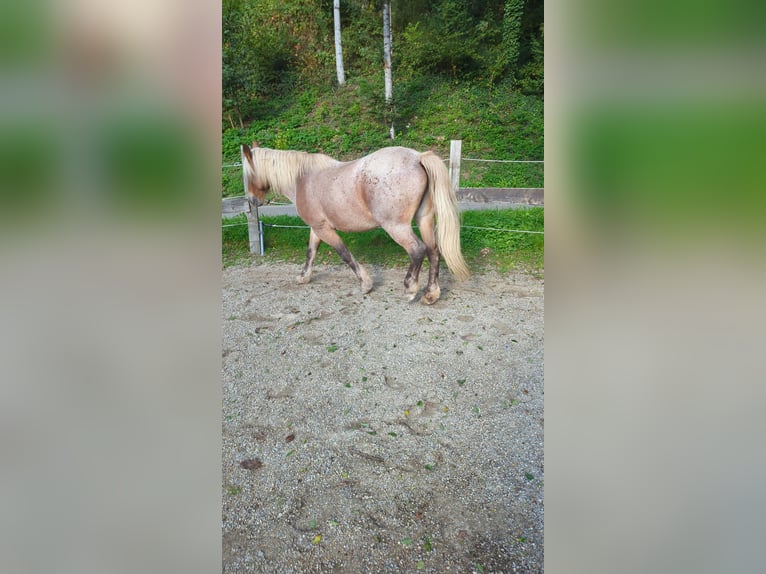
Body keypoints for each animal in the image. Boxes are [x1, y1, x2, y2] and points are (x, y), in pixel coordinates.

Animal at [240, 144, 469, 304]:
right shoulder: (317, 228)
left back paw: (410, 289)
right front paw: (303, 277)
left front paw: (365, 284)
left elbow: (344, 254)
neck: (302, 180)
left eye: (247, 174)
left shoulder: (324, 229)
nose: (251, 200)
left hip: (397, 227)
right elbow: (311, 252)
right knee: (433, 251)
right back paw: (431, 294)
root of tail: (417, 157)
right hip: (424, 221)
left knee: (417, 250)